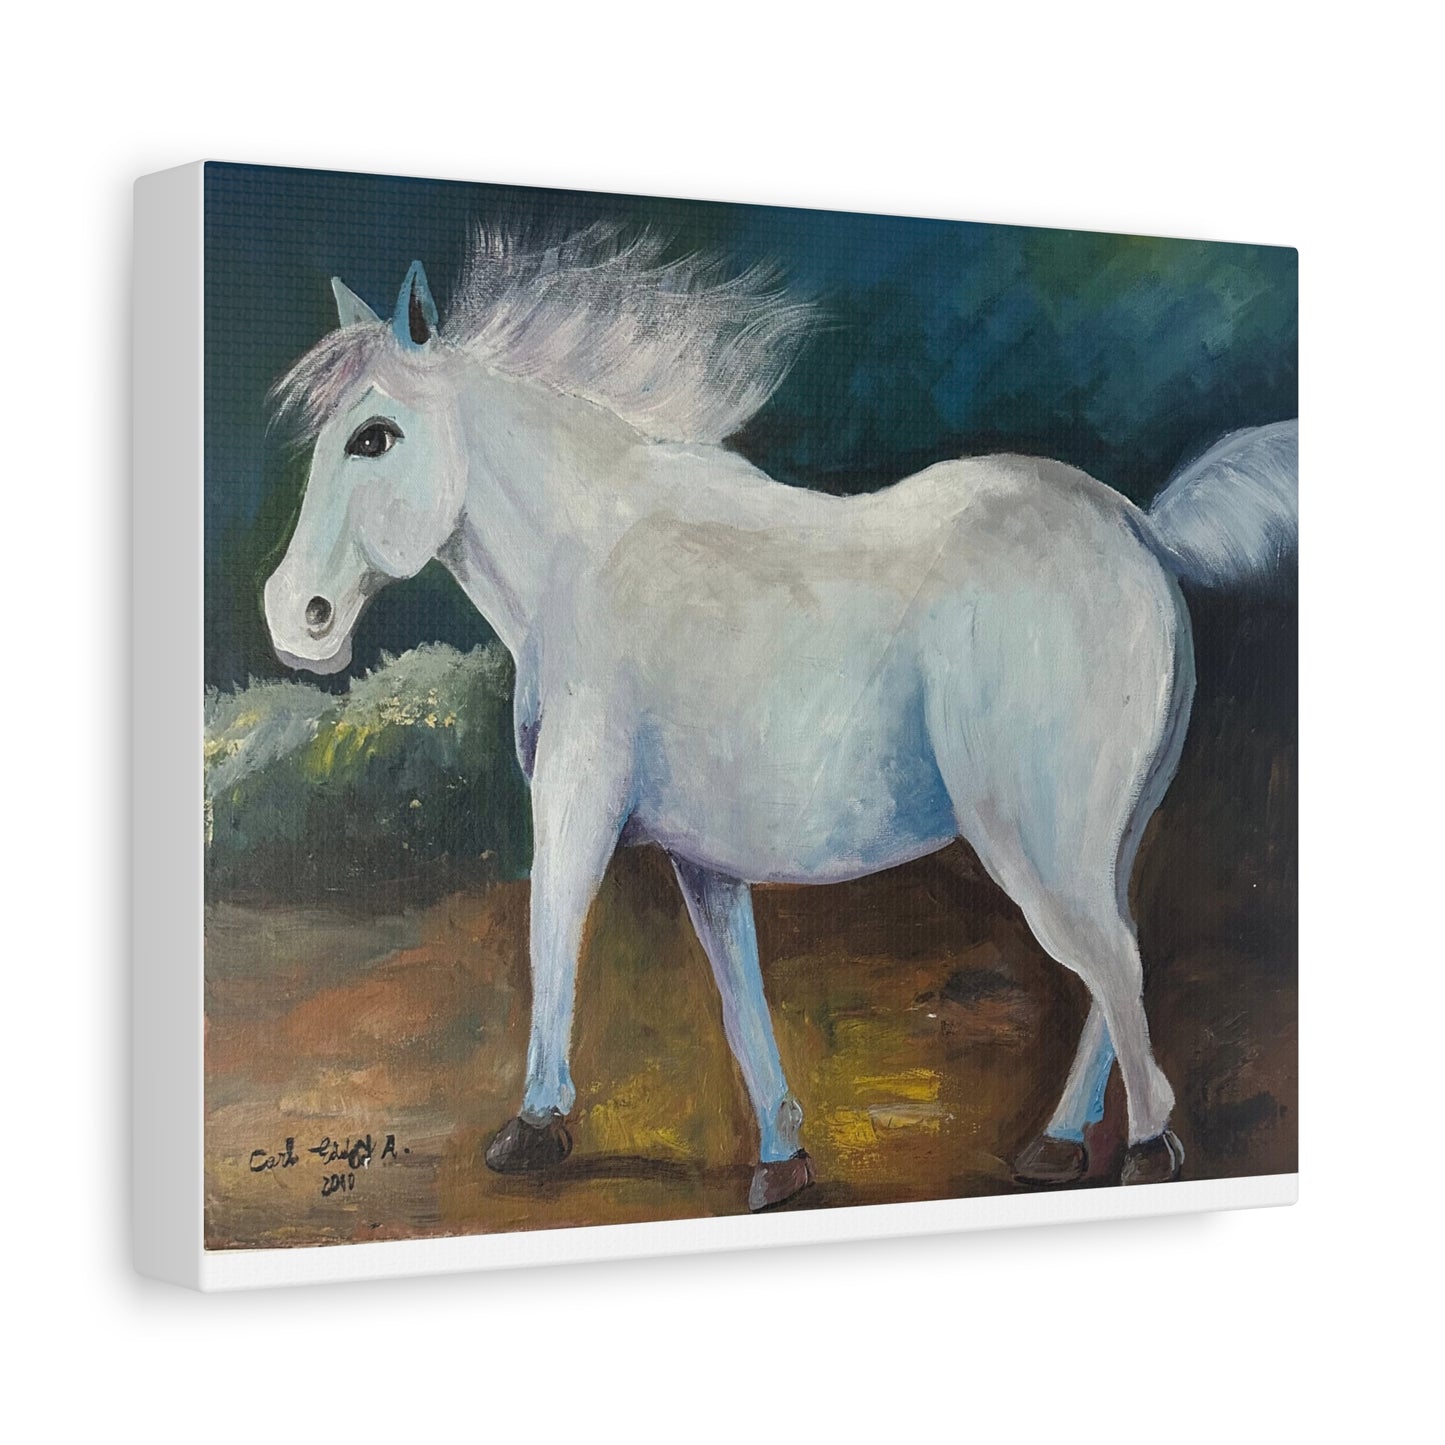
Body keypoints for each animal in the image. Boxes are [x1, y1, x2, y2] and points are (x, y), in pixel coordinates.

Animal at [262, 227, 1298, 1212]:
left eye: (374, 437)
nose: (294, 617)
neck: (589, 556)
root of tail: (1138, 527)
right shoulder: (704, 858)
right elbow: (739, 996)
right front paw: (780, 1158)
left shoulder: (574, 798)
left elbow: (552, 931)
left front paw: (534, 1129)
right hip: (1099, 837)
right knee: (1111, 968)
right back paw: (1056, 1145)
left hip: (1038, 837)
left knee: (1112, 966)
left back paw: (1146, 1148)